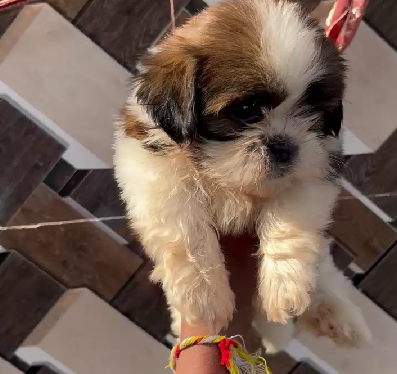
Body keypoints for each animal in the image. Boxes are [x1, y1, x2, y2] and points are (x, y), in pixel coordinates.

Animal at [113, 0, 370, 348]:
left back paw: (337, 317)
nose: (284, 145)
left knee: (327, 274)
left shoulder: (316, 166)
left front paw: (284, 288)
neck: (230, 179)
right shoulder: (151, 164)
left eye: (314, 113)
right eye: (245, 110)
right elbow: (184, 226)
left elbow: (291, 222)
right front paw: (203, 295)